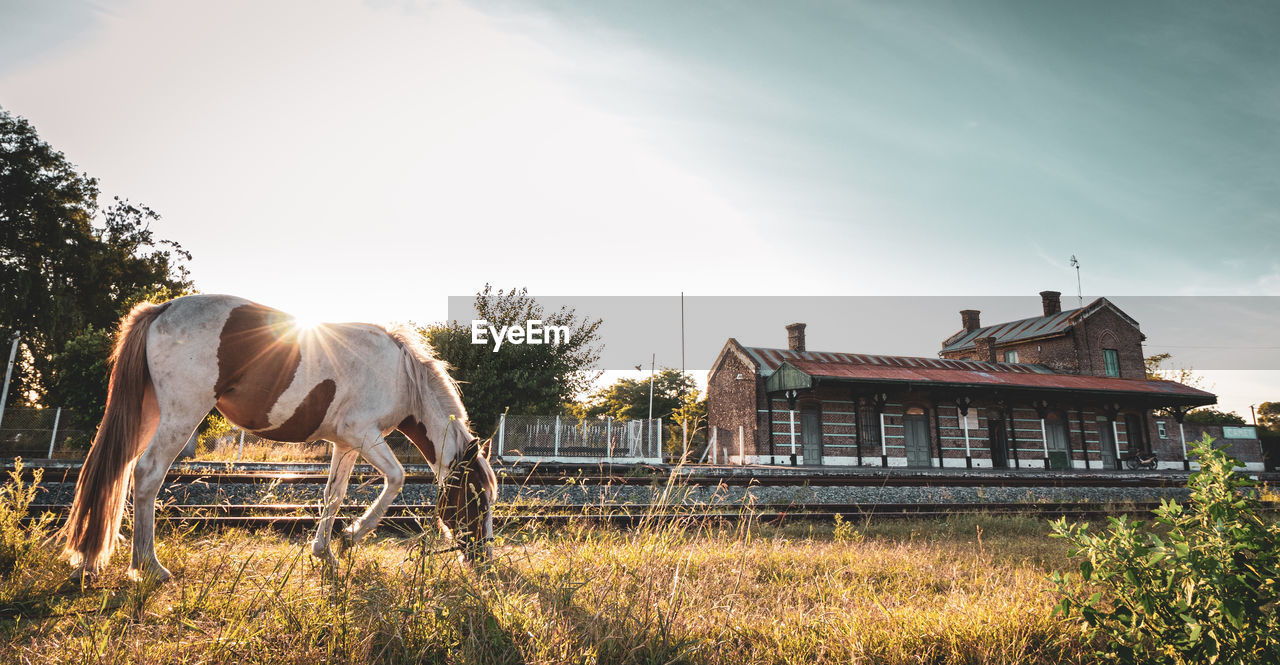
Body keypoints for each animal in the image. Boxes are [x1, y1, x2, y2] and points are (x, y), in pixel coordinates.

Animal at [61, 296, 499, 583]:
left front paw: (326, 552)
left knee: (115, 470)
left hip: (147, 415)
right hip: (180, 414)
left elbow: (333, 495)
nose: (484, 558)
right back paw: (148, 566)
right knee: (148, 473)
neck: (402, 374)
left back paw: (91, 560)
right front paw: (352, 536)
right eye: (476, 498)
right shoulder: (363, 435)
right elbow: (396, 479)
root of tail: (161, 310)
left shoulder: (346, 444)